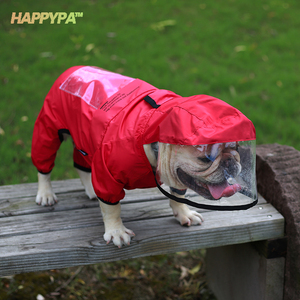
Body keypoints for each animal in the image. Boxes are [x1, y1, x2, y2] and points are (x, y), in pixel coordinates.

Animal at [31, 66, 254, 248]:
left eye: (236, 147)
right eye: (206, 158)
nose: (230, 162)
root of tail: (72, 70)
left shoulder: (176, 176)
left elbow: (178, 194)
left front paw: (183, 213)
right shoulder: (107, 174)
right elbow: (112, 207)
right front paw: (116, 231)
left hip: (84, 140)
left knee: (81, 163)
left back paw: (90, 189)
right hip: (49, 129)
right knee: (44, 164)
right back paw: (46, 193)